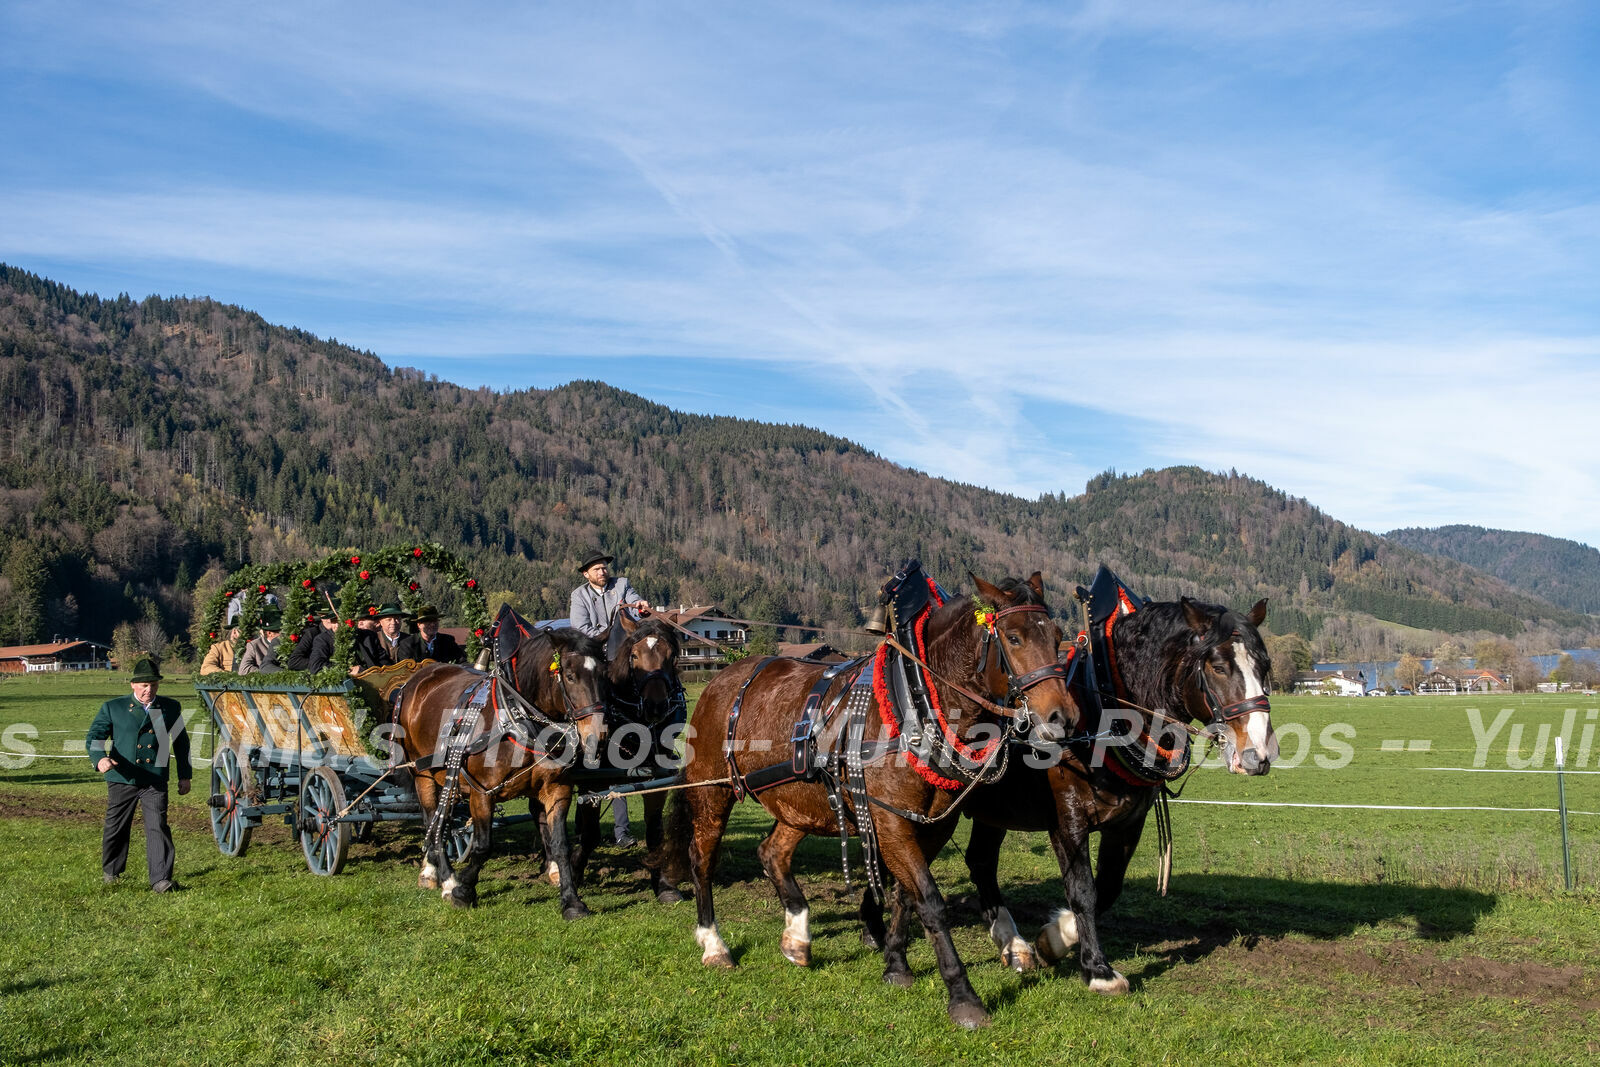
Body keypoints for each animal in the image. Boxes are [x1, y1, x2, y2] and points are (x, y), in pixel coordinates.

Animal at [393, 630, 604, 915]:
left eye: (602, 673)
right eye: (570, 676)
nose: (597, 735)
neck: (519, 720)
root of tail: (418, 677)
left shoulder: (557, 790)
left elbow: (560, 844)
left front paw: (571, 901)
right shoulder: (481, 793)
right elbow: (483, 846)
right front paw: (463, 891)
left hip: (449, 778)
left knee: (442, 823)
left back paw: (431, 870)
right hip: (422, 774)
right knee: (432, 823)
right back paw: (446, 879)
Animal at [656, 575, 1081, 1036]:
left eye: (1058, 636)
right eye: (1014, 637)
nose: (1063, 717)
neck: (914, 700)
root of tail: (722, 678)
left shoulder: (933, 824)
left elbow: (905, 896)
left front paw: (895, 964)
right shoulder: (891, 820)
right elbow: (930, 901)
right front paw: (963, 997)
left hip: (799, 801)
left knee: (772, 853)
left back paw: (797, 935)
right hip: (712, 791)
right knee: (702, 860)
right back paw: (714, 943)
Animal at [857, 591, 1280, 991]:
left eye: (1265, 666)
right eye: (1219, 667)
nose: (1259, 754)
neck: (1102, 707)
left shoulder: (1128, 823)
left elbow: (1107, 888)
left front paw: (1052, 940)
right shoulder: (1068, 819)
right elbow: (1083, 891)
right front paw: (1097, 969)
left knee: (979, 861)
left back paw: (1011, 942)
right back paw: (873, 927)